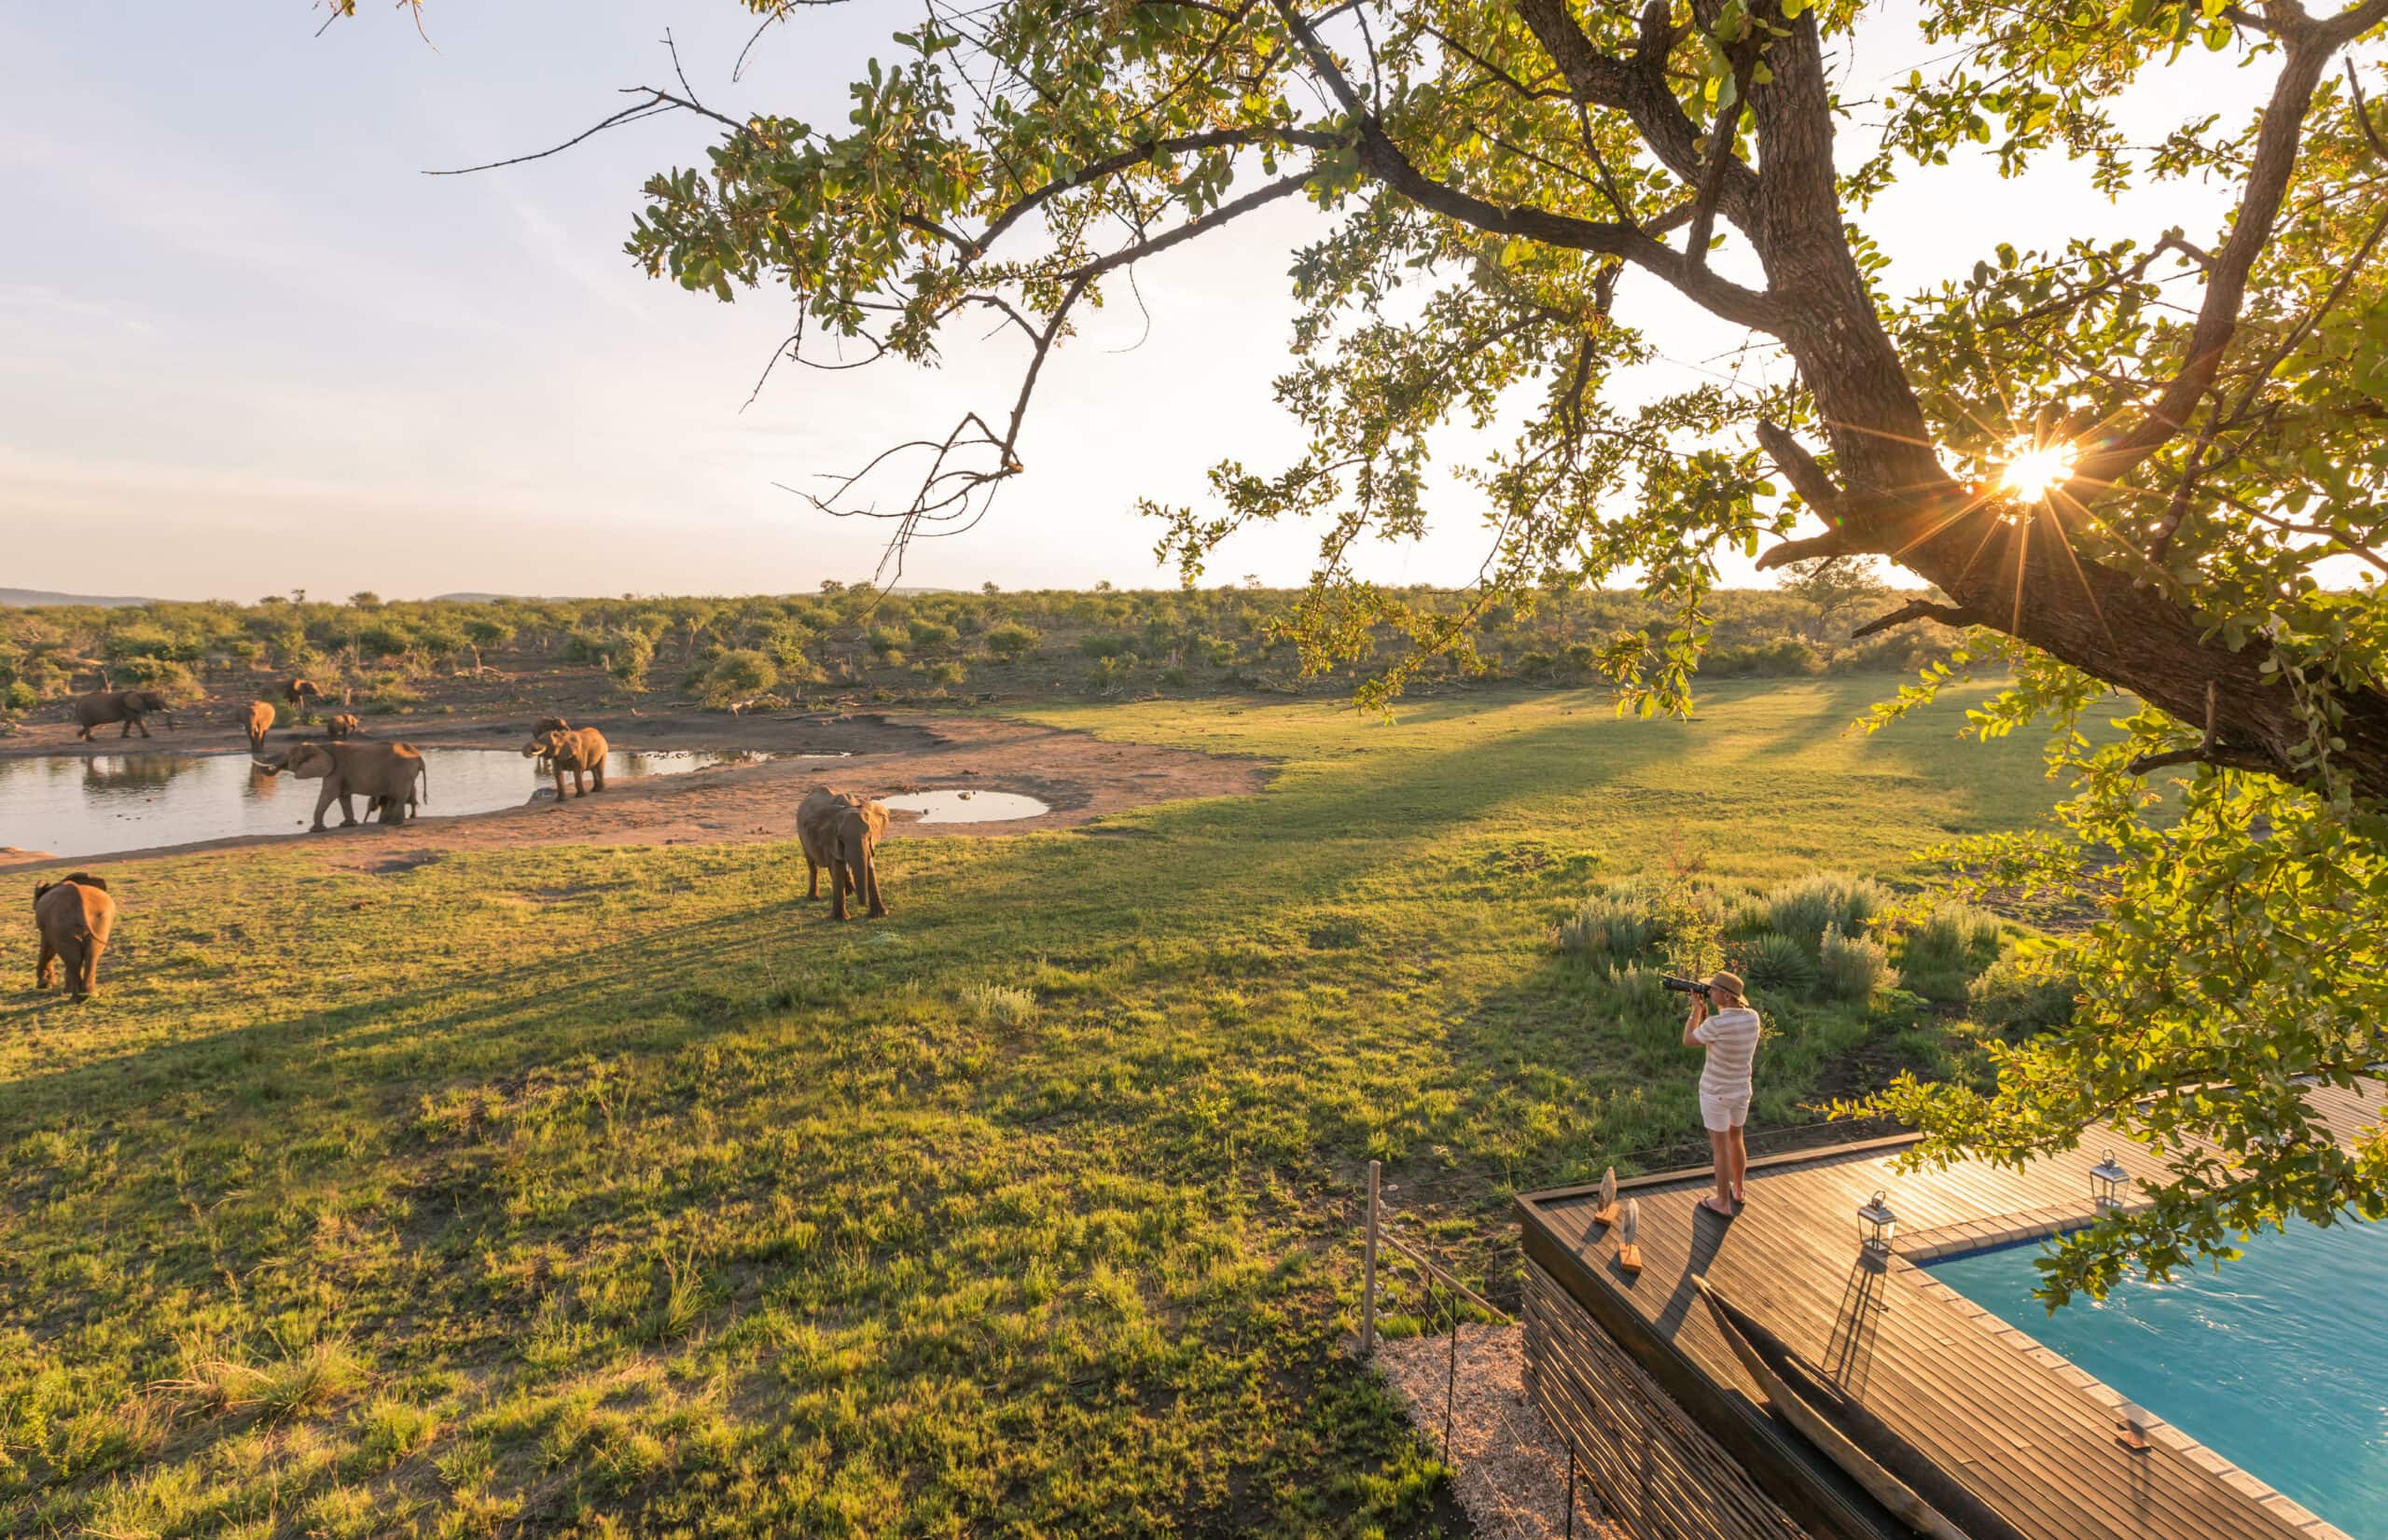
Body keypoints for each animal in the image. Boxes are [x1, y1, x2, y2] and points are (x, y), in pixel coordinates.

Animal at [33, 873, 115, 999]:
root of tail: (80, 901)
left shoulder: (48, 927)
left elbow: (47, 946)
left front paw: (45, 985)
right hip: (101, 918)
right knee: (90, 954)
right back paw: (88, 995)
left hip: (60, 923)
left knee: (73, 958)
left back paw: (76, 998)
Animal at [253, 741, 429, 831]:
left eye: (290, 755)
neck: (320, 746)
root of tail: (419, 757)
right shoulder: (339, 772)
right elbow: (343, 797)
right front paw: (347, 825)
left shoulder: (335, 770)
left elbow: (328, 794)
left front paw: (316, 830)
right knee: (397, 796)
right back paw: (391, 822)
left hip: (402, 772)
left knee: (399, 796)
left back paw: (394, 823)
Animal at [796, 788, 889, 920]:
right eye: (840, 837)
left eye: (869, 834)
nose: (862, 905)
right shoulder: (830, 838)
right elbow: (837, 867)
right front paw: (841, 919)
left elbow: (868, 865)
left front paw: (880, 914)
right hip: (802, 836)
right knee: (812, 864)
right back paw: (814, 898)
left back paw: (850, 892)